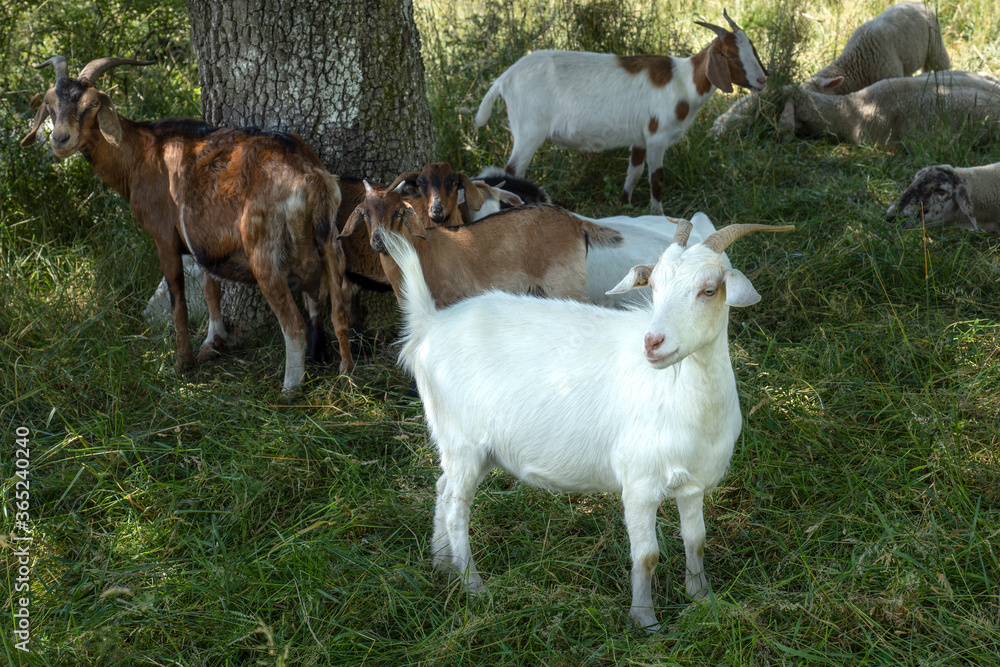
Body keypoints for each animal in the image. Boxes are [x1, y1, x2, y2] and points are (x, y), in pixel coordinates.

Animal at [21, 57, 354, 394]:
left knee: (294, 323)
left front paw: (181, 364)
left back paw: (290, 388)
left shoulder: (164, 236)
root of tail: (307, 175)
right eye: (50, 105)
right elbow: (209, 286)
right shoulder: (205, 241)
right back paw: (343, 372)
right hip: (329, 238)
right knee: (337, 310)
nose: (60, 140)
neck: (141, 153)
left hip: (263, 250)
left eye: (92, 104)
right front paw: (212, 343)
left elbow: (177, 302)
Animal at [340, 181, 620, 310]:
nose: (379, 240)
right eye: (365, 214)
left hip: (565, 283)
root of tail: (577, 222)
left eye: (399, 212)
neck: (419, 252)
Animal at [378, 220, 792, 632]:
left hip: (470, 448)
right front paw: (646, 621)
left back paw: (441, 564)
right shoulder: (639, 485)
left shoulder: (692, 483)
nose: (652, 342)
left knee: (442, 489)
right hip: (463, 442)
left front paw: (702, 599)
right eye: (654, 286)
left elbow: (696, 540)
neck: (680, 393)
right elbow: (647, 556)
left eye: (708, 290)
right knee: (456, 508)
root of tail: (429, 325)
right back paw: (474, 586)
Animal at [474, 9, 764, 214]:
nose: (762, 80)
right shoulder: (657, 137)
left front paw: (624, 203)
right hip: (528, 132)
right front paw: (658, 213)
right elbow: (656, 177)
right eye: (731, 56)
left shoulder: (641, 137)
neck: (683, 81)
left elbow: (634, 171)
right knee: (512, 170)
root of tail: (504, 79)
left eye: (753, 48)